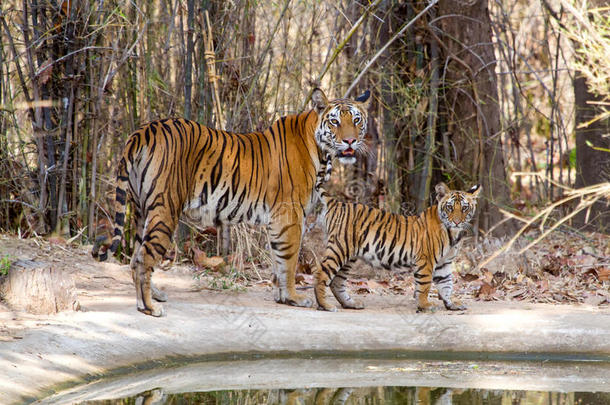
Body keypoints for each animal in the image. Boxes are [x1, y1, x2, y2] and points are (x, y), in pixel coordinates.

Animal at [92, 87, 368, 316]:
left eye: (356, 120)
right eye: (335, 121)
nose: (350, 141)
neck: (323, 154)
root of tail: (143, 131)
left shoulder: (278, 220)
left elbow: (278, 258)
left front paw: (282, 297)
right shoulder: (289, 214)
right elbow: (289, 260)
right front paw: (295, 297)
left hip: (141, 211)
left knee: (136, 257)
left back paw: (152, 297)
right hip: (165, 209)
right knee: (145, 258)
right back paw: (150, 307)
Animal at [314, 183, 480, 312]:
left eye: (464, 208)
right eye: (450, 207)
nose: (457, 222)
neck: (453, 233)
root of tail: (337, 203)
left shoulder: (444, 263)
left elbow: (446, 284)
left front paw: (451, 304)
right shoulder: (426, 259)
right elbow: (425, 284)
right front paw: (425, 305)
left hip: (349, 256)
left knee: (337, 281)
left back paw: (350, 303)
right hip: (340, 248)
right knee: (321, 273)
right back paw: (325, 305)